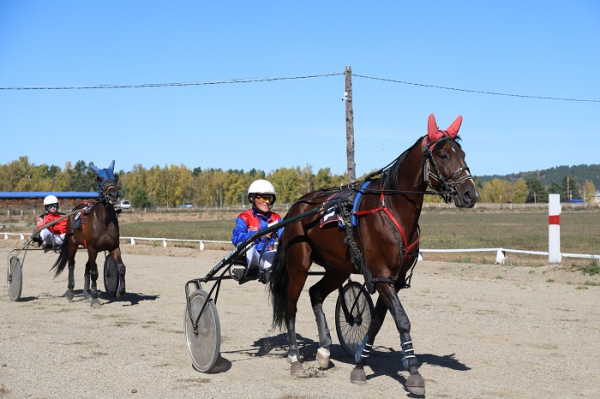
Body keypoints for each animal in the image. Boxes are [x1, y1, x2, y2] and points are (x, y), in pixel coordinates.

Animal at [51, 161, 126, 308]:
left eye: (115, 177)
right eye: (100, 179)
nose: (112, 194)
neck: (104, 221)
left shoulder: (114, 247)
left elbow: (121, 267)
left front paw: (120, 292)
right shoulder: (92, 248)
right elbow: (94, 273)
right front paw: (95, 299)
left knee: (87, 267)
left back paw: (86, 293)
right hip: (73, 245)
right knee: (72, 264)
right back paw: (70, 291)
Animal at [270, 114, 480, 396]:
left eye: (463, 153)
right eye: (444, 154)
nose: (470, 194)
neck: (392, 209)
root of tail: (297, 206)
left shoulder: (393, 279)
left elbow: (377, 321)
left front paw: (360, 363)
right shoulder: (380, 273)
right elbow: (402, 320)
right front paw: (414, 373)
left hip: (338, 269)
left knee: (316, 293)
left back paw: (324, 350)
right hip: (299, 264)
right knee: (291, 306)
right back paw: (295, 359)